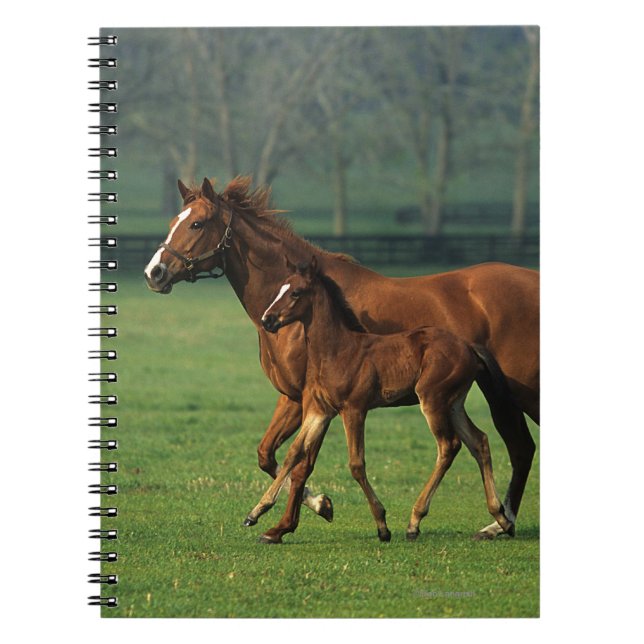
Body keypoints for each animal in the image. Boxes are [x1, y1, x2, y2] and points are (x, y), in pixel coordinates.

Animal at [244, 256, 515, 543]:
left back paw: (414, 522)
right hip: (454, 404)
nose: (268, 319)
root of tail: (468, 347)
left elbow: (356, 464)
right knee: (479, 441)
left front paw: (382, 525)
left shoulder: (353, 409)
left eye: (296, 292)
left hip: (432, 400)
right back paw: (501, 518)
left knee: (448, 446)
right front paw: (256, 514)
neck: (336, 350)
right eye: (280, 289)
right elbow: (293, 454)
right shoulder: (320, 410)